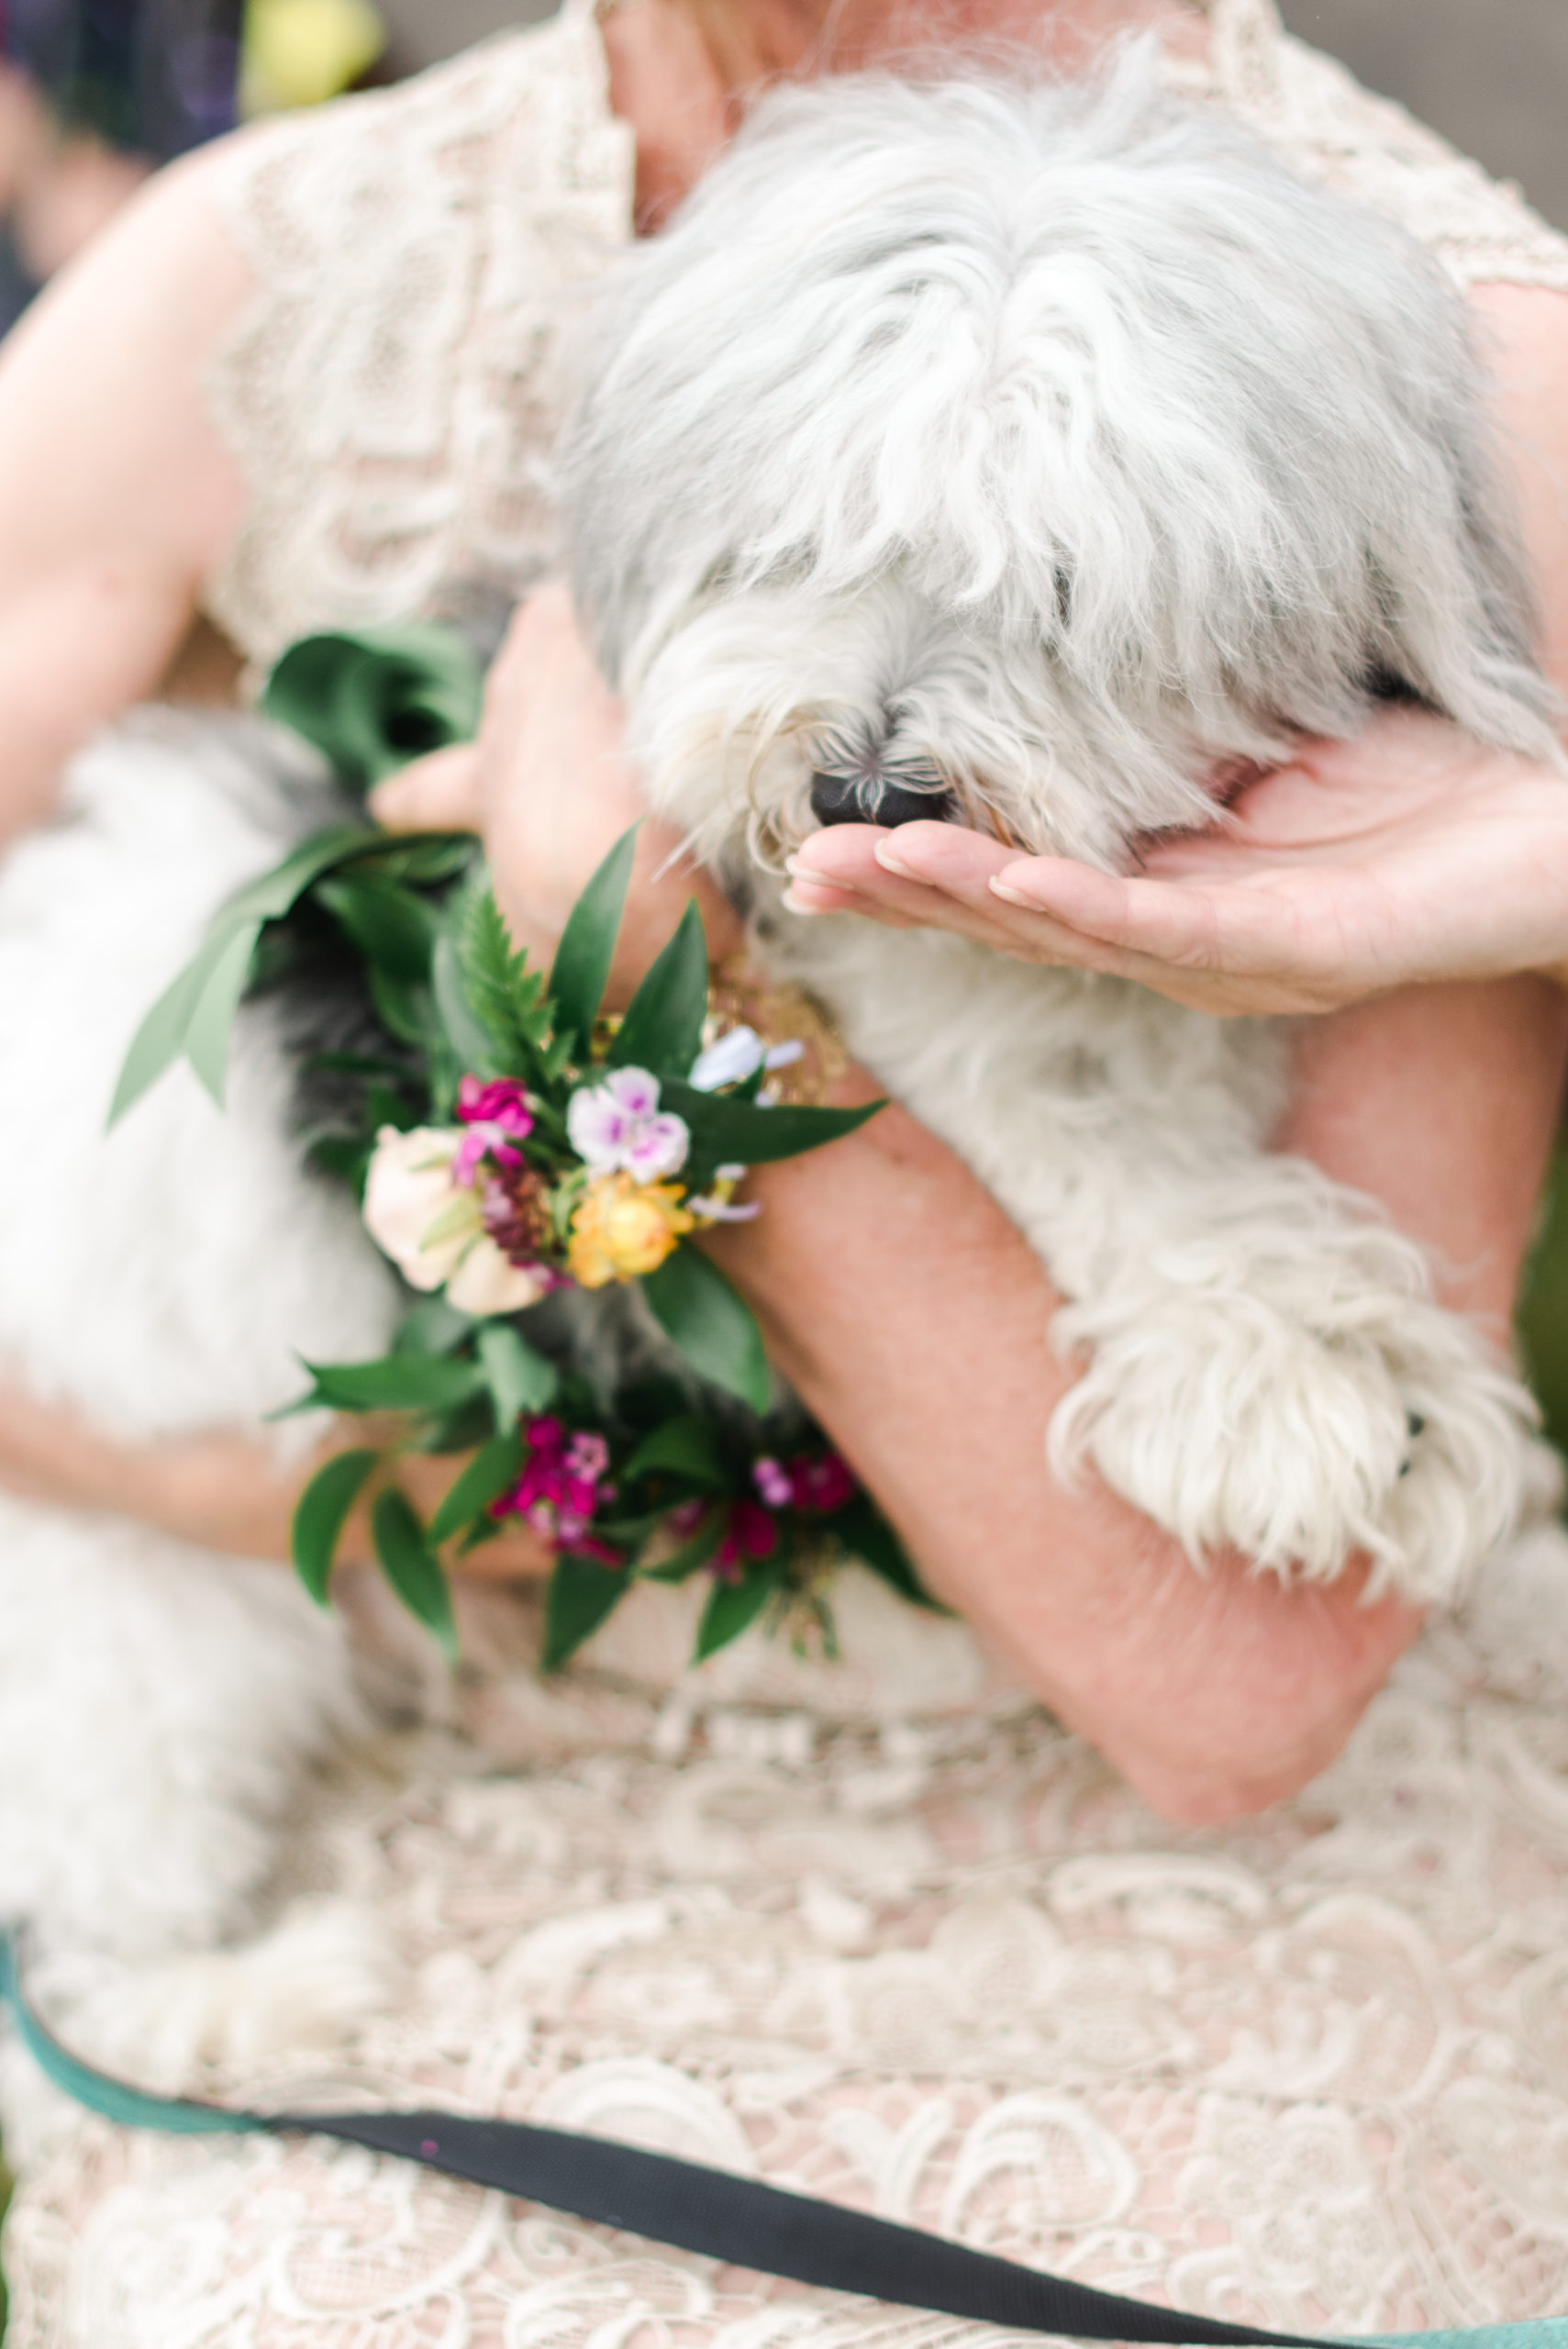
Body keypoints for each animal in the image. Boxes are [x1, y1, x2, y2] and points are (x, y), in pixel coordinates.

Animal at [0, 59, 1558, 2039]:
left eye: (1068, 584)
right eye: (803, 538)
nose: (863, 792)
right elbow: (1060, 1127)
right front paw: (1300, 1376)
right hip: (139, 1635)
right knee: (88, 1936)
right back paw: (263, 1987)